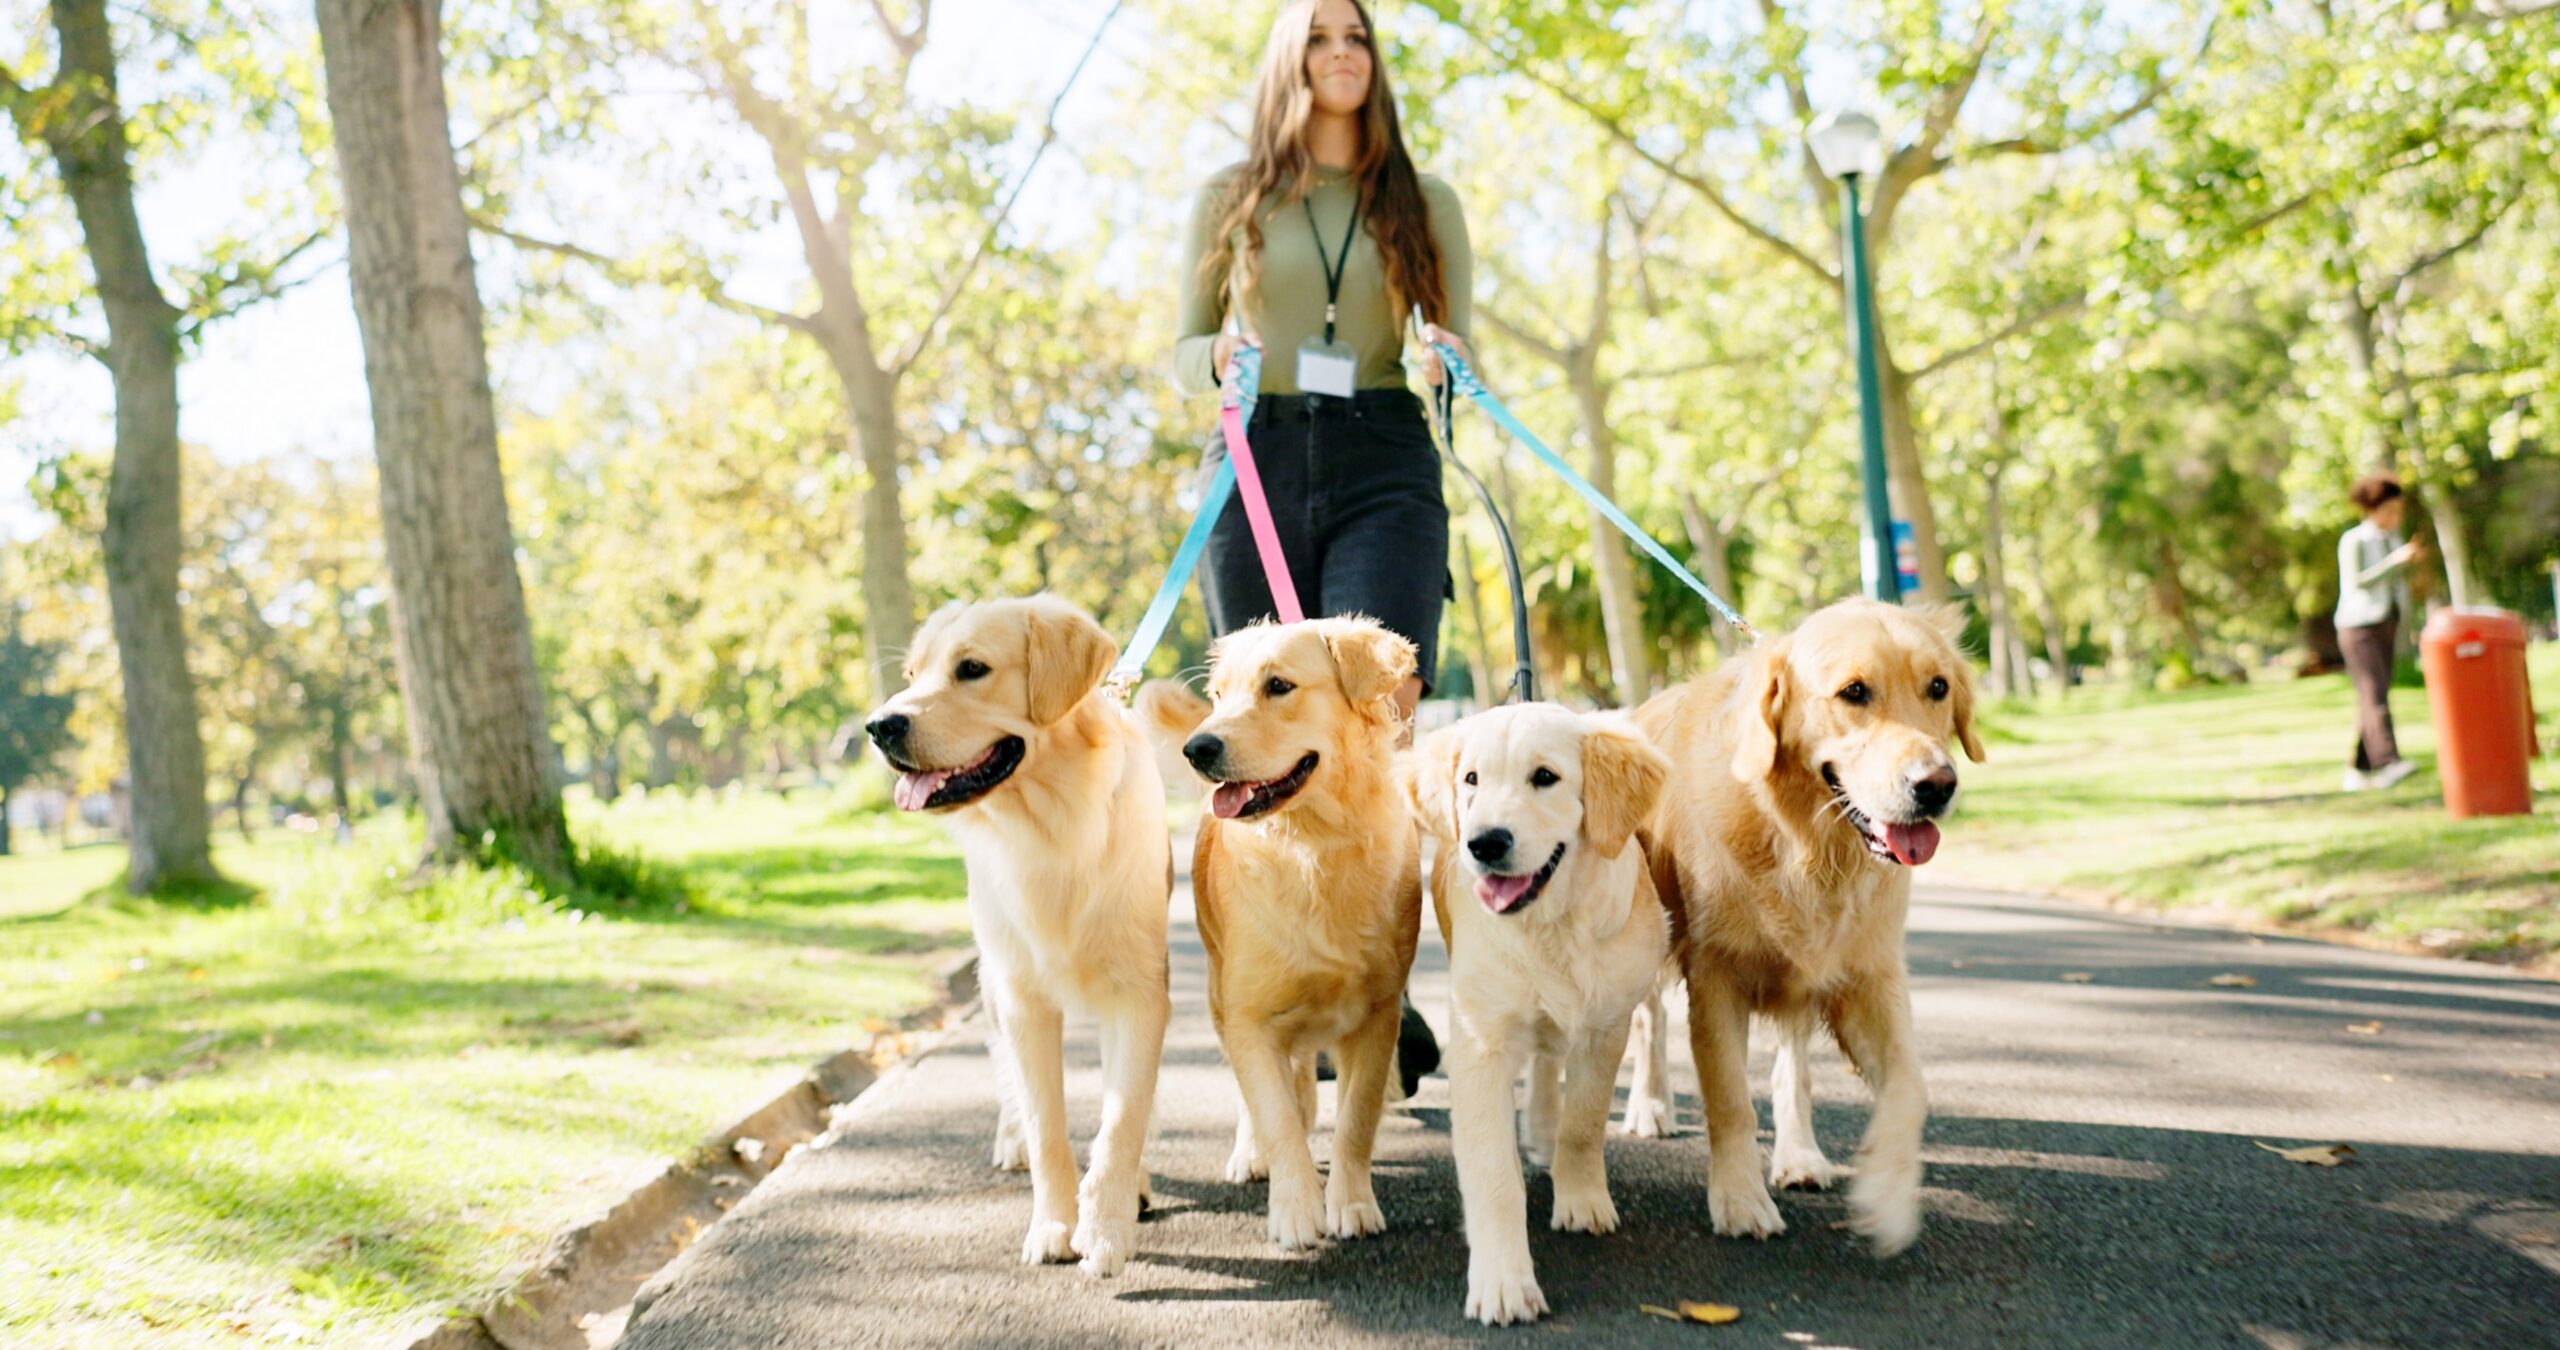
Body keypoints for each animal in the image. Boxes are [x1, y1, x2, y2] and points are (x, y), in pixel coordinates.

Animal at [865, 599, 1172, 1280]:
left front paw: (1106, 1226)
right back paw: (1011, 1142)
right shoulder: (1023, 1000)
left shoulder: (1139, 995)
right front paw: (1055, 1225)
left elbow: (1124, 1115)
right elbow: (1045, 1124)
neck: (1055, 831)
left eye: (972, 669)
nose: (879, 727)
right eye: (912, 673)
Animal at [1141, 617, 1423, 1250]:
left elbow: (1356, 1119)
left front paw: (1352, 1203)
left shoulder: (1378, 1015)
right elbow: (1274, 1116)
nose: (1197, 748)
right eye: (1219, 694)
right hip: (1222, 996)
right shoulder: (1249, 1016)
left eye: (1279, 686)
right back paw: (1253, 1154)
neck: (1313, 847)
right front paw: (1295, 1209)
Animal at [1413, 707, 1669, 1332]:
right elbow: (1491, 1170)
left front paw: (1582, 1199)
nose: (1485, 843)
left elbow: (1585, 1122)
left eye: (1545, 777)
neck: (1552, 926)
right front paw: (1504, 1282)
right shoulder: (1480, 1040)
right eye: (1472, 779)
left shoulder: (1605, 1026)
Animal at [1638, 601, 1976, 1255]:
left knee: (1791, 1065)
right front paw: (1740, 1201)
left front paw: (1887, 1193)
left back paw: (1799, 1156)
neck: (1805, 842)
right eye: (1854, 692)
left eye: (1938, 687)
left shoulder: (1869, 975)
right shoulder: (1715, 976)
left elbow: (1911, 1087)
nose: (1936, 787)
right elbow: (1729, 1101)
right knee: (1647, 1022)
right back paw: (1649, 1107)